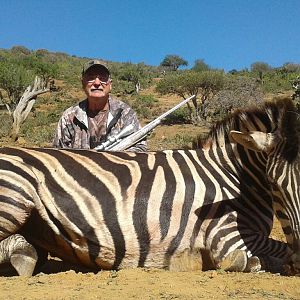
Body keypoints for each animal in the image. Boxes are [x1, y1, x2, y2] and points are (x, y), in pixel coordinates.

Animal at [0, 96, 298, 276]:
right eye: (274, 183)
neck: (230, 176)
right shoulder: (225, 238)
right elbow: (256, 258)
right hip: (15, 197)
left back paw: (24, 253)